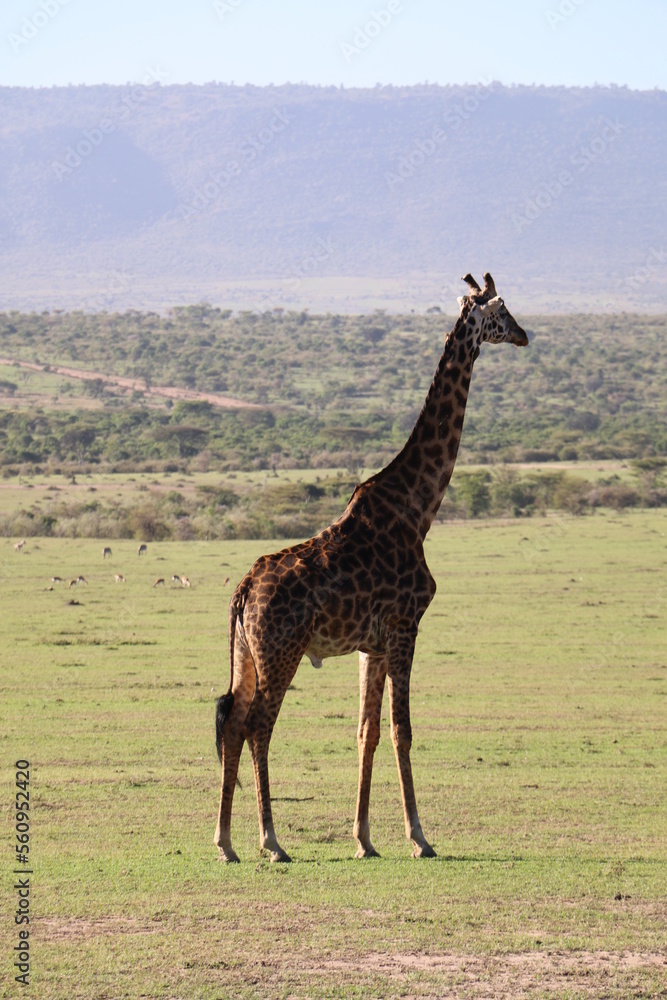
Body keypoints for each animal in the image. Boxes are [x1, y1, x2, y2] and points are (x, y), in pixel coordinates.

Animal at [214, 273, 529, 863]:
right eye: (501, 311)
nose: (525, 335)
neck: (418, 507)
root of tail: (243, 591)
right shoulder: (406, 626)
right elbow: (402, 729)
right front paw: (420, 837)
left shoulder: (371, 644)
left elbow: (367, 731)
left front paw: (363, 838)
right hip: (281, 651)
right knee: (259, 725)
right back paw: (271, 841)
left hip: (246, 654)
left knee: (231, 720)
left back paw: (224, 842)